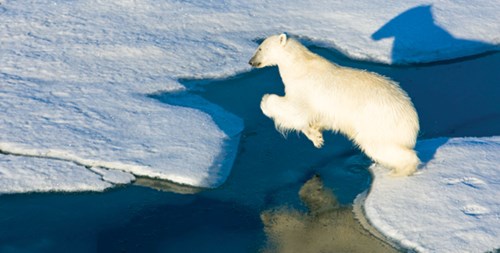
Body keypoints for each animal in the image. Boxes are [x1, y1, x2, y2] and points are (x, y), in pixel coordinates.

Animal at [248, 33, 420, 176]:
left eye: (260, 47)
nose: (250, 62)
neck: (299, 65)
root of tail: (411, 119)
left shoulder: (304, 88)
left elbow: (296, 110)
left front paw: (265, 101)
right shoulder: (326, 110)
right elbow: (312, 119)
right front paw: (316, 137)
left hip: (378, 122)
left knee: (381, 146)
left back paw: (401, 170)